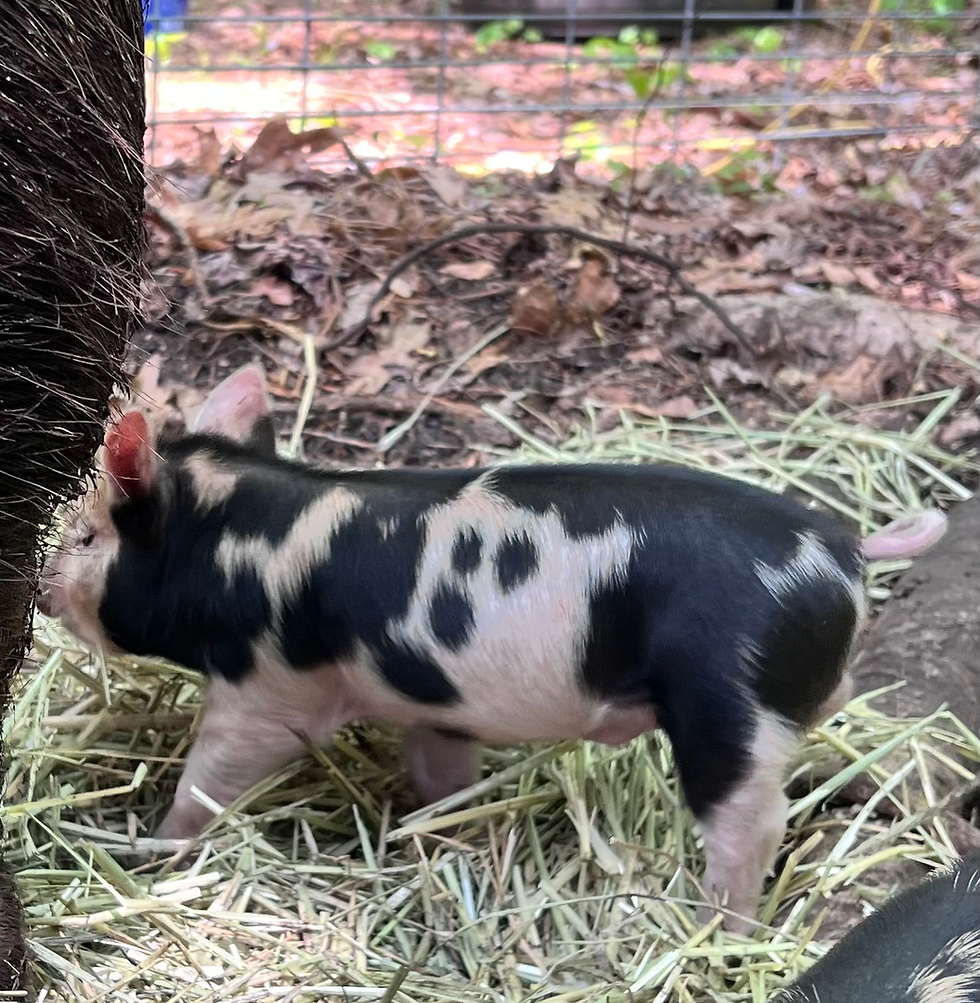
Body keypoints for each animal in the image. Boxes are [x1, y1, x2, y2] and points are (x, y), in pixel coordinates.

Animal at [36, 364, 948, 932]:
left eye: (86, 534)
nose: (39, 585)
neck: (231, 543)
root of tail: (843, 548)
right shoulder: (432, 698)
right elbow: (440, 772)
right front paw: (432, 831)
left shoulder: (270, 687)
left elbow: (213, 774)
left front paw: (156, 844)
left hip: (730, 705)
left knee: (751, 826)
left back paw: (711, 926)